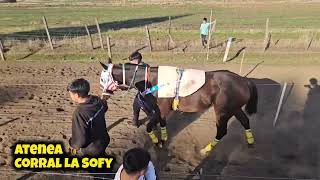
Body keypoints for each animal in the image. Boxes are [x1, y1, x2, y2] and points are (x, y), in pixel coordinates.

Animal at [100, 59, 258, 156]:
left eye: (103, 78)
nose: (103, 98)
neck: (154, 80)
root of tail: (244, 80)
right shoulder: (161, 110)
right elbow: (162, 123)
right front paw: (163, 140)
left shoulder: (161, 109)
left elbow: (150, 127)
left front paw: (157, 142)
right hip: (235, 109)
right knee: (245, 122)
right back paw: (250, 143)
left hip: (222, 111)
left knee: (222, 131)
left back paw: (205, 150)